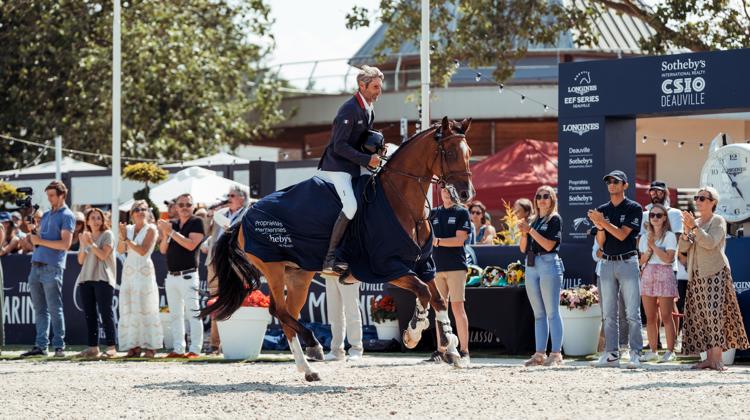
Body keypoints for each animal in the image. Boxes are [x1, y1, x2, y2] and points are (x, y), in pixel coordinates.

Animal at [203, 116, 476, 382]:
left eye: (469, 152)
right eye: (450, 152)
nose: (466, 194)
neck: (404, 204)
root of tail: (244, 217)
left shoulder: (423, 264)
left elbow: (438, 299)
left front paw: (452, 350)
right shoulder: (387, 267)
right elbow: (423, 292)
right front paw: (413, 333)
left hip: (298, 275)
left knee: (286, 314)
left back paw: (307, 368)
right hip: (273, 267)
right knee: (278, 310)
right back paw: (314, 346)